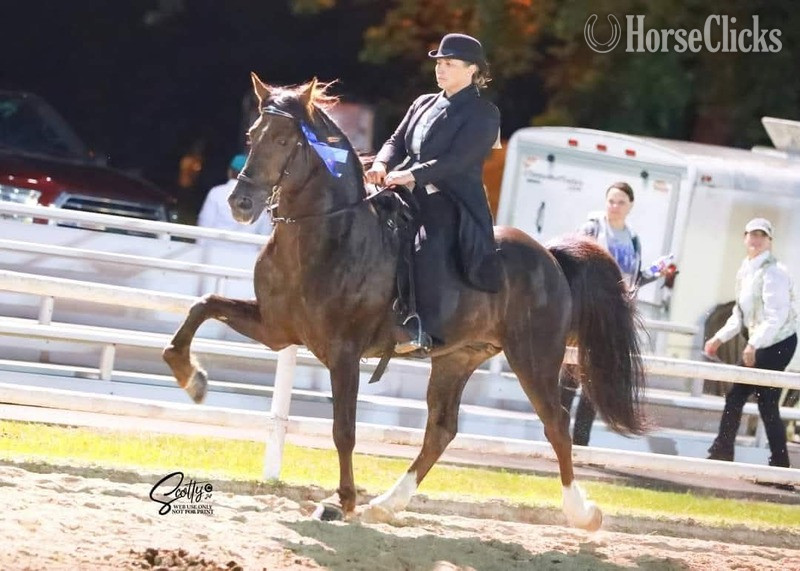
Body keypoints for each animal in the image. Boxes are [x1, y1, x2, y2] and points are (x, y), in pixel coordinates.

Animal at [163, 73, 646, 531]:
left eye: (284, 140)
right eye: (252, 135)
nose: (240, 204)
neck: (324, 234)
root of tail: (550, 256)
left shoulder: (344, 352)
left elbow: (344, 430)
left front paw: (342, 501)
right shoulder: (276, 330)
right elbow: (203, 305)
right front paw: (191, 377)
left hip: (534, 357)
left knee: (556, 425)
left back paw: (582, 514)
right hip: (457, 358)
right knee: (442, 430)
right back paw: (387, 504)